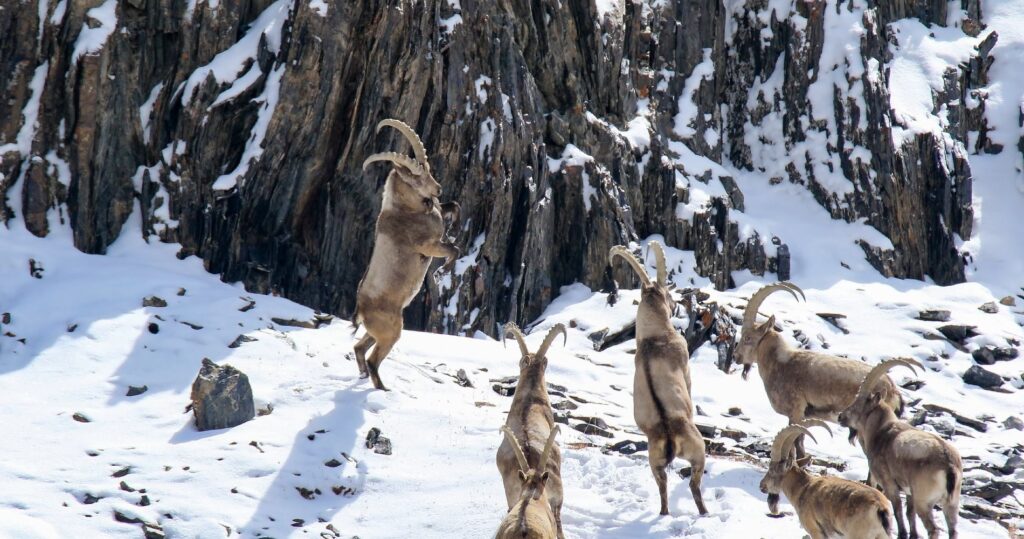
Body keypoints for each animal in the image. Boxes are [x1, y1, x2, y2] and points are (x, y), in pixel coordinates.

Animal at [354, 118, 462, 391]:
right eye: (416, 178)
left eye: (429, 170)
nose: (438, 189)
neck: (403, 210)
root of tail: (360, 309)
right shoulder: (428, 246)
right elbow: (453, 250)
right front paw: (443, 272)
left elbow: (454, 206)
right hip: (391, 330)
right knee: (372, 359)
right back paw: (382, 388)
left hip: (376, 332)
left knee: (359, 348)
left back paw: (363, 377)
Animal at [606, 242, 704, 518]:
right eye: (667, 293)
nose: (674, 305)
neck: (653, 338)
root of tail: (670, 436)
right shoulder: (686, 367)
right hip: (698, 450)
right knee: (694, 484)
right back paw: (705, 512)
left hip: (654, 460)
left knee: (662, 487)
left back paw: (664, 513)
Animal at [737, 282, 905, 457]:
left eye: (747, 338)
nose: (736, 356)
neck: (780, 363)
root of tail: (893, 390)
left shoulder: (796, 411)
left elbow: (797, 443)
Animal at [839, 358, 958, 539]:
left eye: (857, 403)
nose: (840, 416)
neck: (882, 431)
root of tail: (949, 466)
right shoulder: (909, 492)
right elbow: (910, 514)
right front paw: (913, 535)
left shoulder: (889, 484)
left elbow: (898, 511)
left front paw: (902, 534)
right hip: (951, 504)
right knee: (953, 530)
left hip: (924, 501)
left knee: (933, 529)